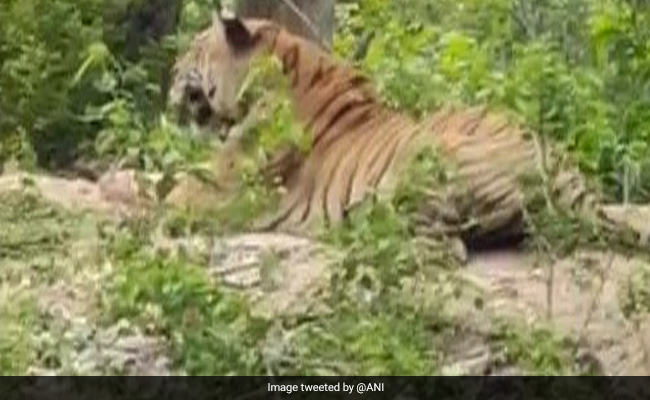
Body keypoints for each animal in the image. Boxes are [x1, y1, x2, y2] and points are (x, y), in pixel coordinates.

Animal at [167, 11, 649, 257]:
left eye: (193, 48)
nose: (168, 76)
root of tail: (567, 173)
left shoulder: (220, 190)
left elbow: (157, 195)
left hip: (427, 158)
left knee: (442, 242)